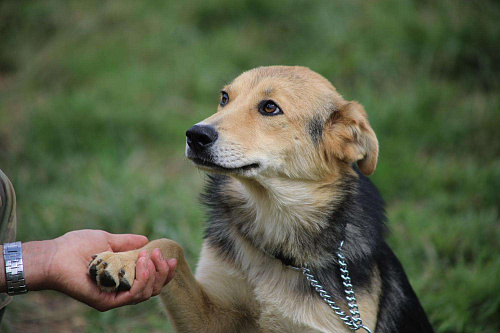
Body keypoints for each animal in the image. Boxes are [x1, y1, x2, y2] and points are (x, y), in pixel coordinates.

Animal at [90, 66, 434, 330]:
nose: (195, 135)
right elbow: (169, 245)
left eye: (270, 107)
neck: (274, 224)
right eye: (224, 98)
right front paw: (127, 259)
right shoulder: (214, 320)